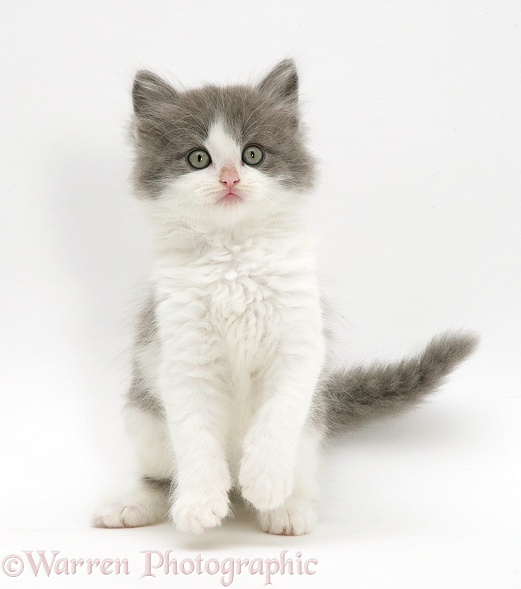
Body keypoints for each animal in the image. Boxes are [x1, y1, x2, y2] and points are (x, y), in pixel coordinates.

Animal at [92, 62, 476, 536]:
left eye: (253, 154)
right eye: (198, 158)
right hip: (143, 419)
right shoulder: (181, 358)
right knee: (160, 477)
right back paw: (135, 504)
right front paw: (200, 503)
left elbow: (277, 417)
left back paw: (285, 508)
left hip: (312, 429)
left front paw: (266, 483)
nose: (230, 178)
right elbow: (195, 438)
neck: (234, 257)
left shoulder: (298, 345)